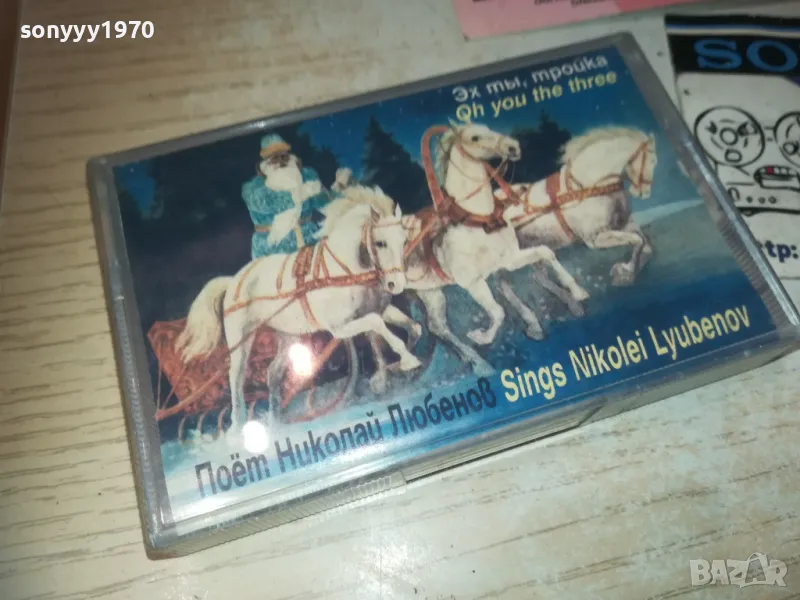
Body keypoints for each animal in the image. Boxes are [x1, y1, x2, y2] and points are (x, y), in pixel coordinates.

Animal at [175, 186, 420, 433]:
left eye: (404, 240)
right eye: (380, 243)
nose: (396, 284)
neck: (342, 269)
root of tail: (234, 280)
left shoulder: (377, 310)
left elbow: (409, 327)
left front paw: (401, 365)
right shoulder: (339, 328)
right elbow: (377, 325)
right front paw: (406, 362)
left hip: (288, 337)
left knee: (272, 373)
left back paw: (276, 421)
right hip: (242, 338)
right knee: (236, 376)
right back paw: (238, 427)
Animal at [494, 126, 657, 289]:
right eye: (651, 161)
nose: (645, 193)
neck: (587, 187)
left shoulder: (624, 224)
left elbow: (644, 243)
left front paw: (627, 272)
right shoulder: (594, 239)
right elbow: (636, 239)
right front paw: (625, 271)